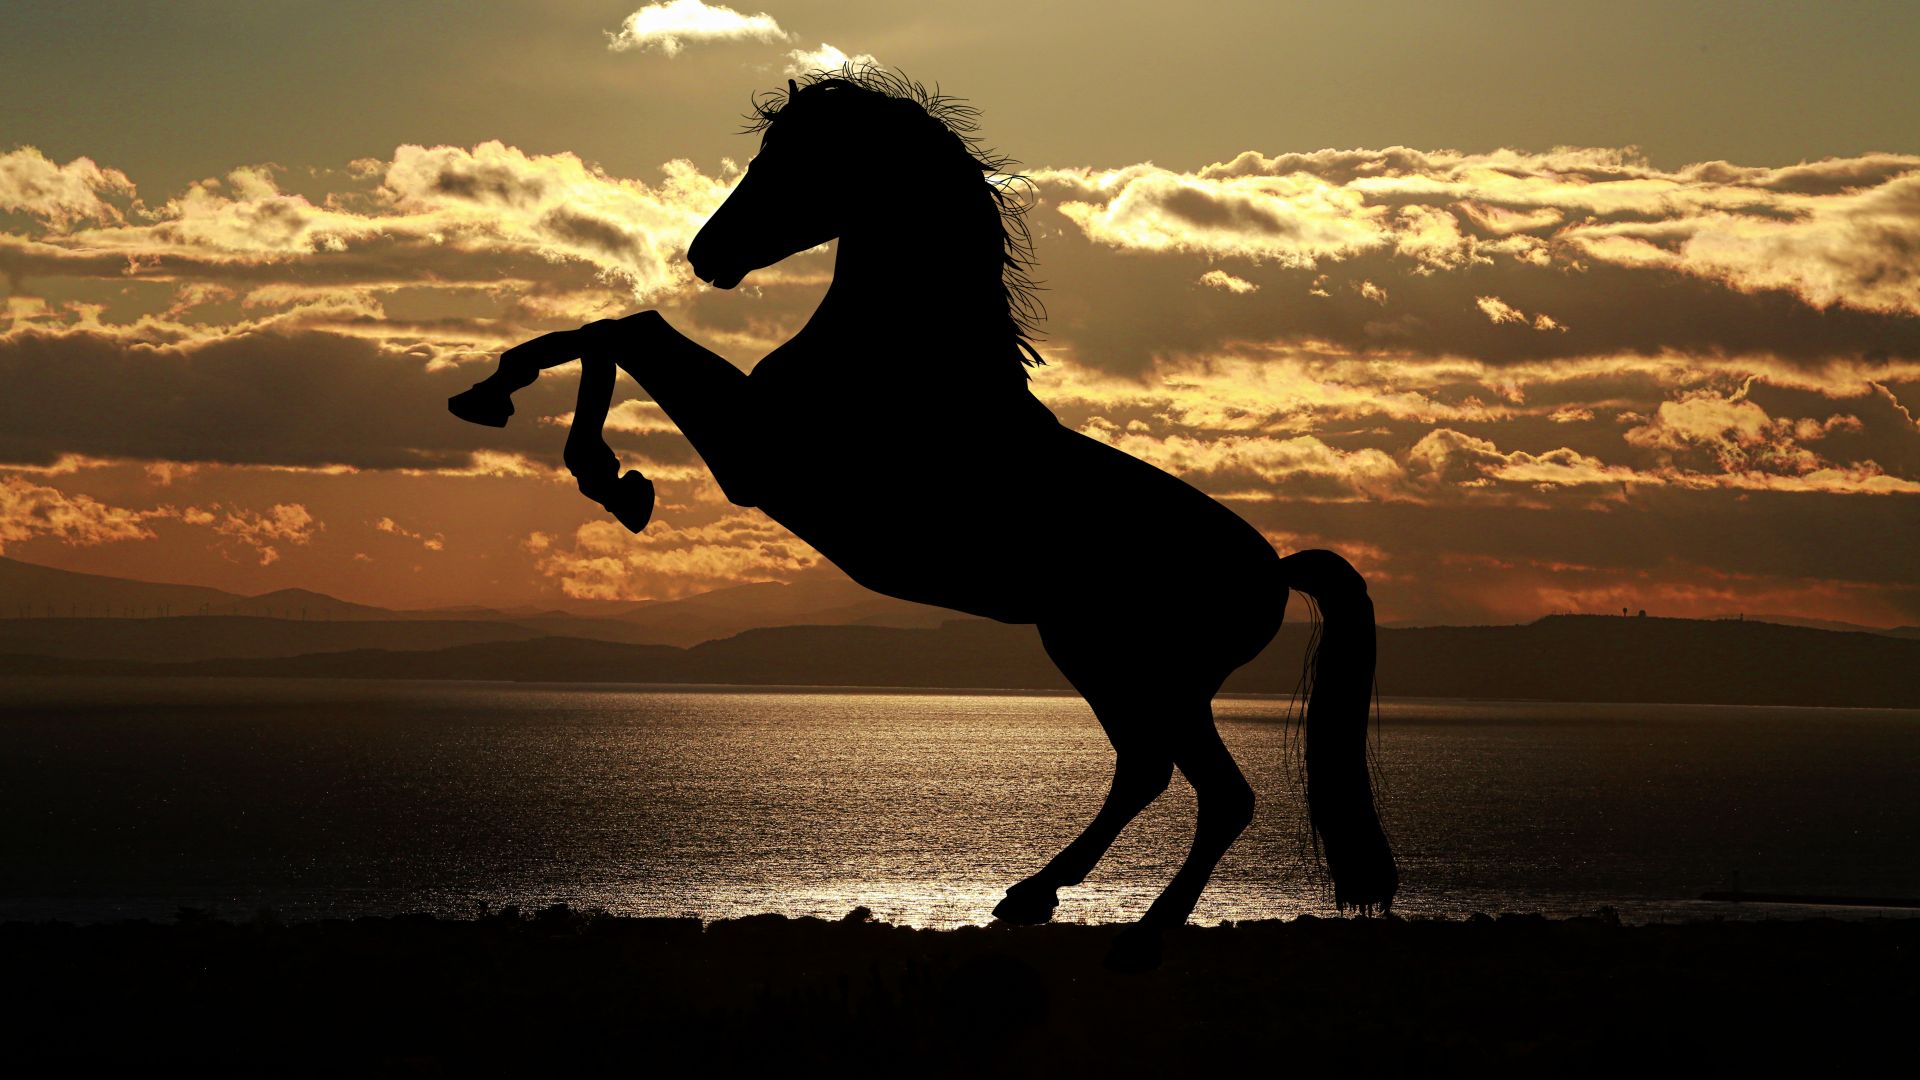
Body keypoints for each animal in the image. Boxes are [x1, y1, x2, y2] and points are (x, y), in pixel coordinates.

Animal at [448, 68, 1396, 965]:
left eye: (795, 159)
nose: (706, 253)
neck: (904, 358)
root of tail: (1273, 570)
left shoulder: (755, 455)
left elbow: (628, 329)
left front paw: (602, 472)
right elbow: (612, 327)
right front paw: (503, 402)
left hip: (1147, 671)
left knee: (1216, 794)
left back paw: (1137, 937)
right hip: (1099, 658)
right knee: (1145, 772)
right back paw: (1032, 896)